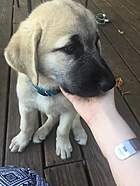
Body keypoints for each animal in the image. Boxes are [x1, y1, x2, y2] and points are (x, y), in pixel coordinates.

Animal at [4, 0, 115, 160]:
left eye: (96, 43)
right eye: (70, 48)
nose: (111, 84)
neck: (48, 88)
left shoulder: (70, 110)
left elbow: (62, 130)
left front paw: (63, 145)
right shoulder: (25, 106)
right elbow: (25, 126)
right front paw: (22, 140)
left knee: (75, 120)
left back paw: (79, 132)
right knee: (53, 117)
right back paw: (42, 131)